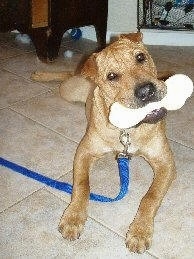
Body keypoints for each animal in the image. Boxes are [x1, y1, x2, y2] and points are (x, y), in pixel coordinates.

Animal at [31, 33, 176, 254]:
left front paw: (140, 231)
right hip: (69, 90)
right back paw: (40, 74)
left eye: (140, 57)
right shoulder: (84, 152)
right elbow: (82, 186)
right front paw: (73, 217)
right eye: (112, 76)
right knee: (67, 75)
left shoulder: (166, 163)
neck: (128, 128)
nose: (146, 91)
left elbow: (150, 197)